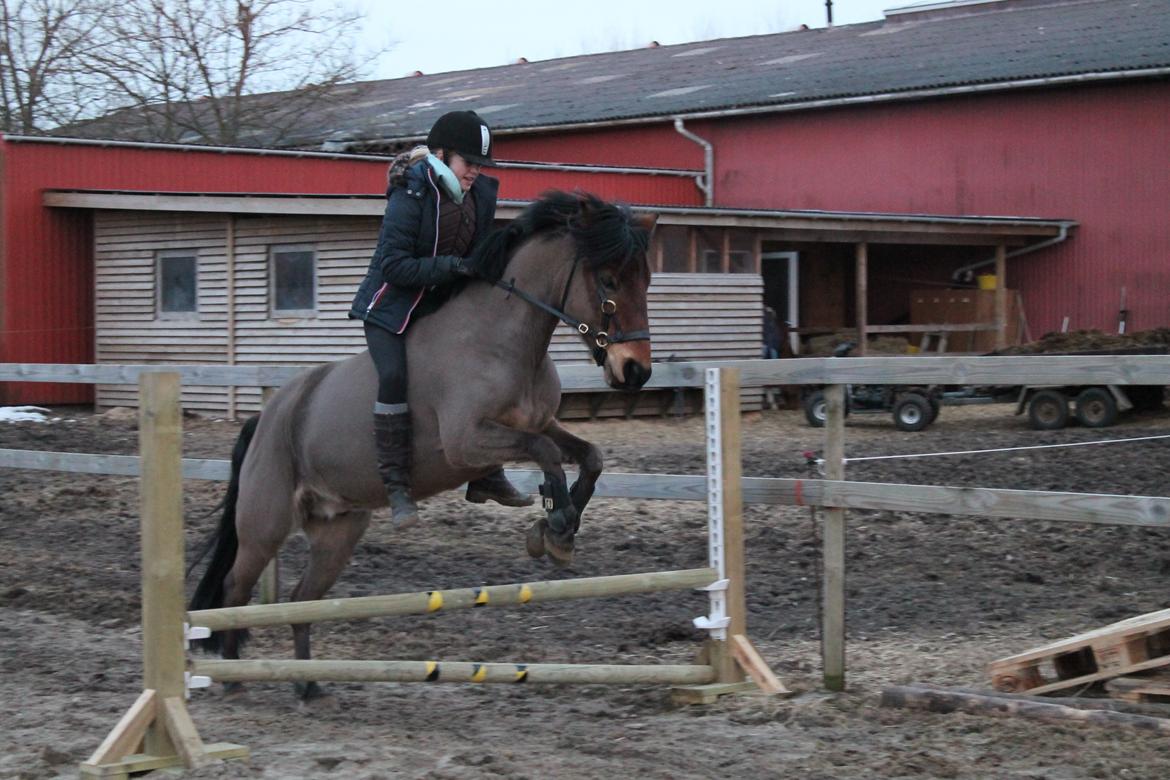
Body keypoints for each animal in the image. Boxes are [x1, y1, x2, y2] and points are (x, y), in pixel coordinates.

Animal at [187, 190, 655, 701]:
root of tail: (265, 418)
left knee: (301, 600)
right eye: (608, 280)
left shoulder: (538, 423)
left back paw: (307, 685)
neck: (504, 339)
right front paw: (555, 523)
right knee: (236, 589)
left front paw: (559, 532)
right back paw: (234, 678)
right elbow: (548, 456)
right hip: (265, 525)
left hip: (337, 531)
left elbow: (589, 456)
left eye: (647, 281)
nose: (636, 372)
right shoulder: (467, 442)